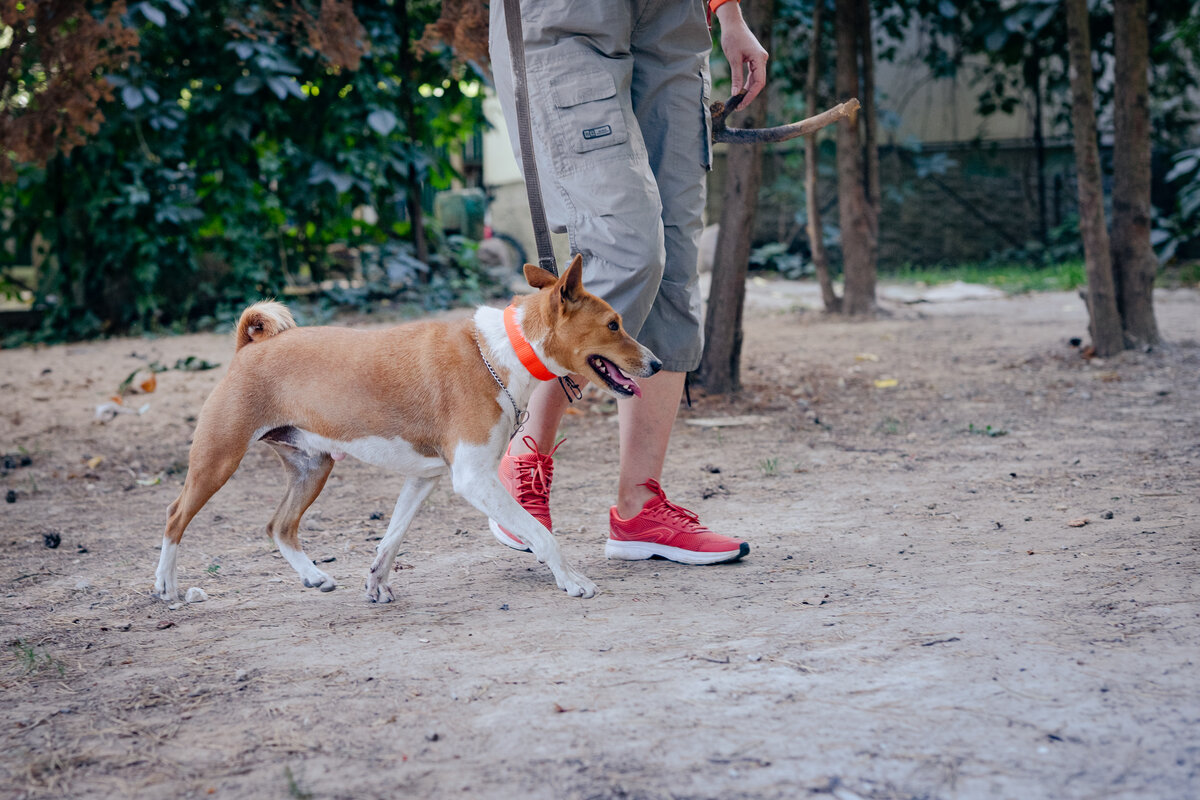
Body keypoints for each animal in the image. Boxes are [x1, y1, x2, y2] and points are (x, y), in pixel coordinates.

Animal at [153, 260, 662, 604]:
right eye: (613, 325)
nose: (657, 364)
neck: (501, 351)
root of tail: (249, 347)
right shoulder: (473, 479)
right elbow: (541, 533)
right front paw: (571, 579)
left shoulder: (424, 477)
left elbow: (392, 538)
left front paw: (377, 581)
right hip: (218, 460)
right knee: (175, 516)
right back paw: (167, 586)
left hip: (312, 468)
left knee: (279, 525)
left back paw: (313, 576)